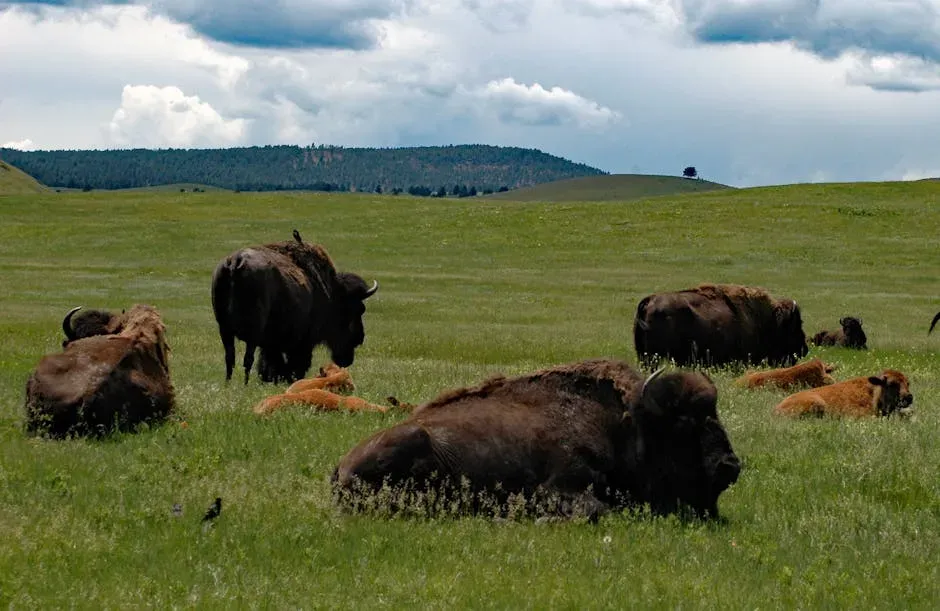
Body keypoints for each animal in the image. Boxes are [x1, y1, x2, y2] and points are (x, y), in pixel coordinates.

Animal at [211, 230, 378, 384]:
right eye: (358, 309)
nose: (359, 339)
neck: (330, 292)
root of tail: (236, 262)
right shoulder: (303, 341)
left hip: (224, 330)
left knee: (230, 357)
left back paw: (229, 383)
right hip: (252, 332)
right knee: (247, 359)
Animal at [332, 358, 741, 521]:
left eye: (715, 413)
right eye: (684, 423)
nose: (731, 466)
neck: (625, 424)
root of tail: (340, 466)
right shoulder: (558, 487)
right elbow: (597, 511)